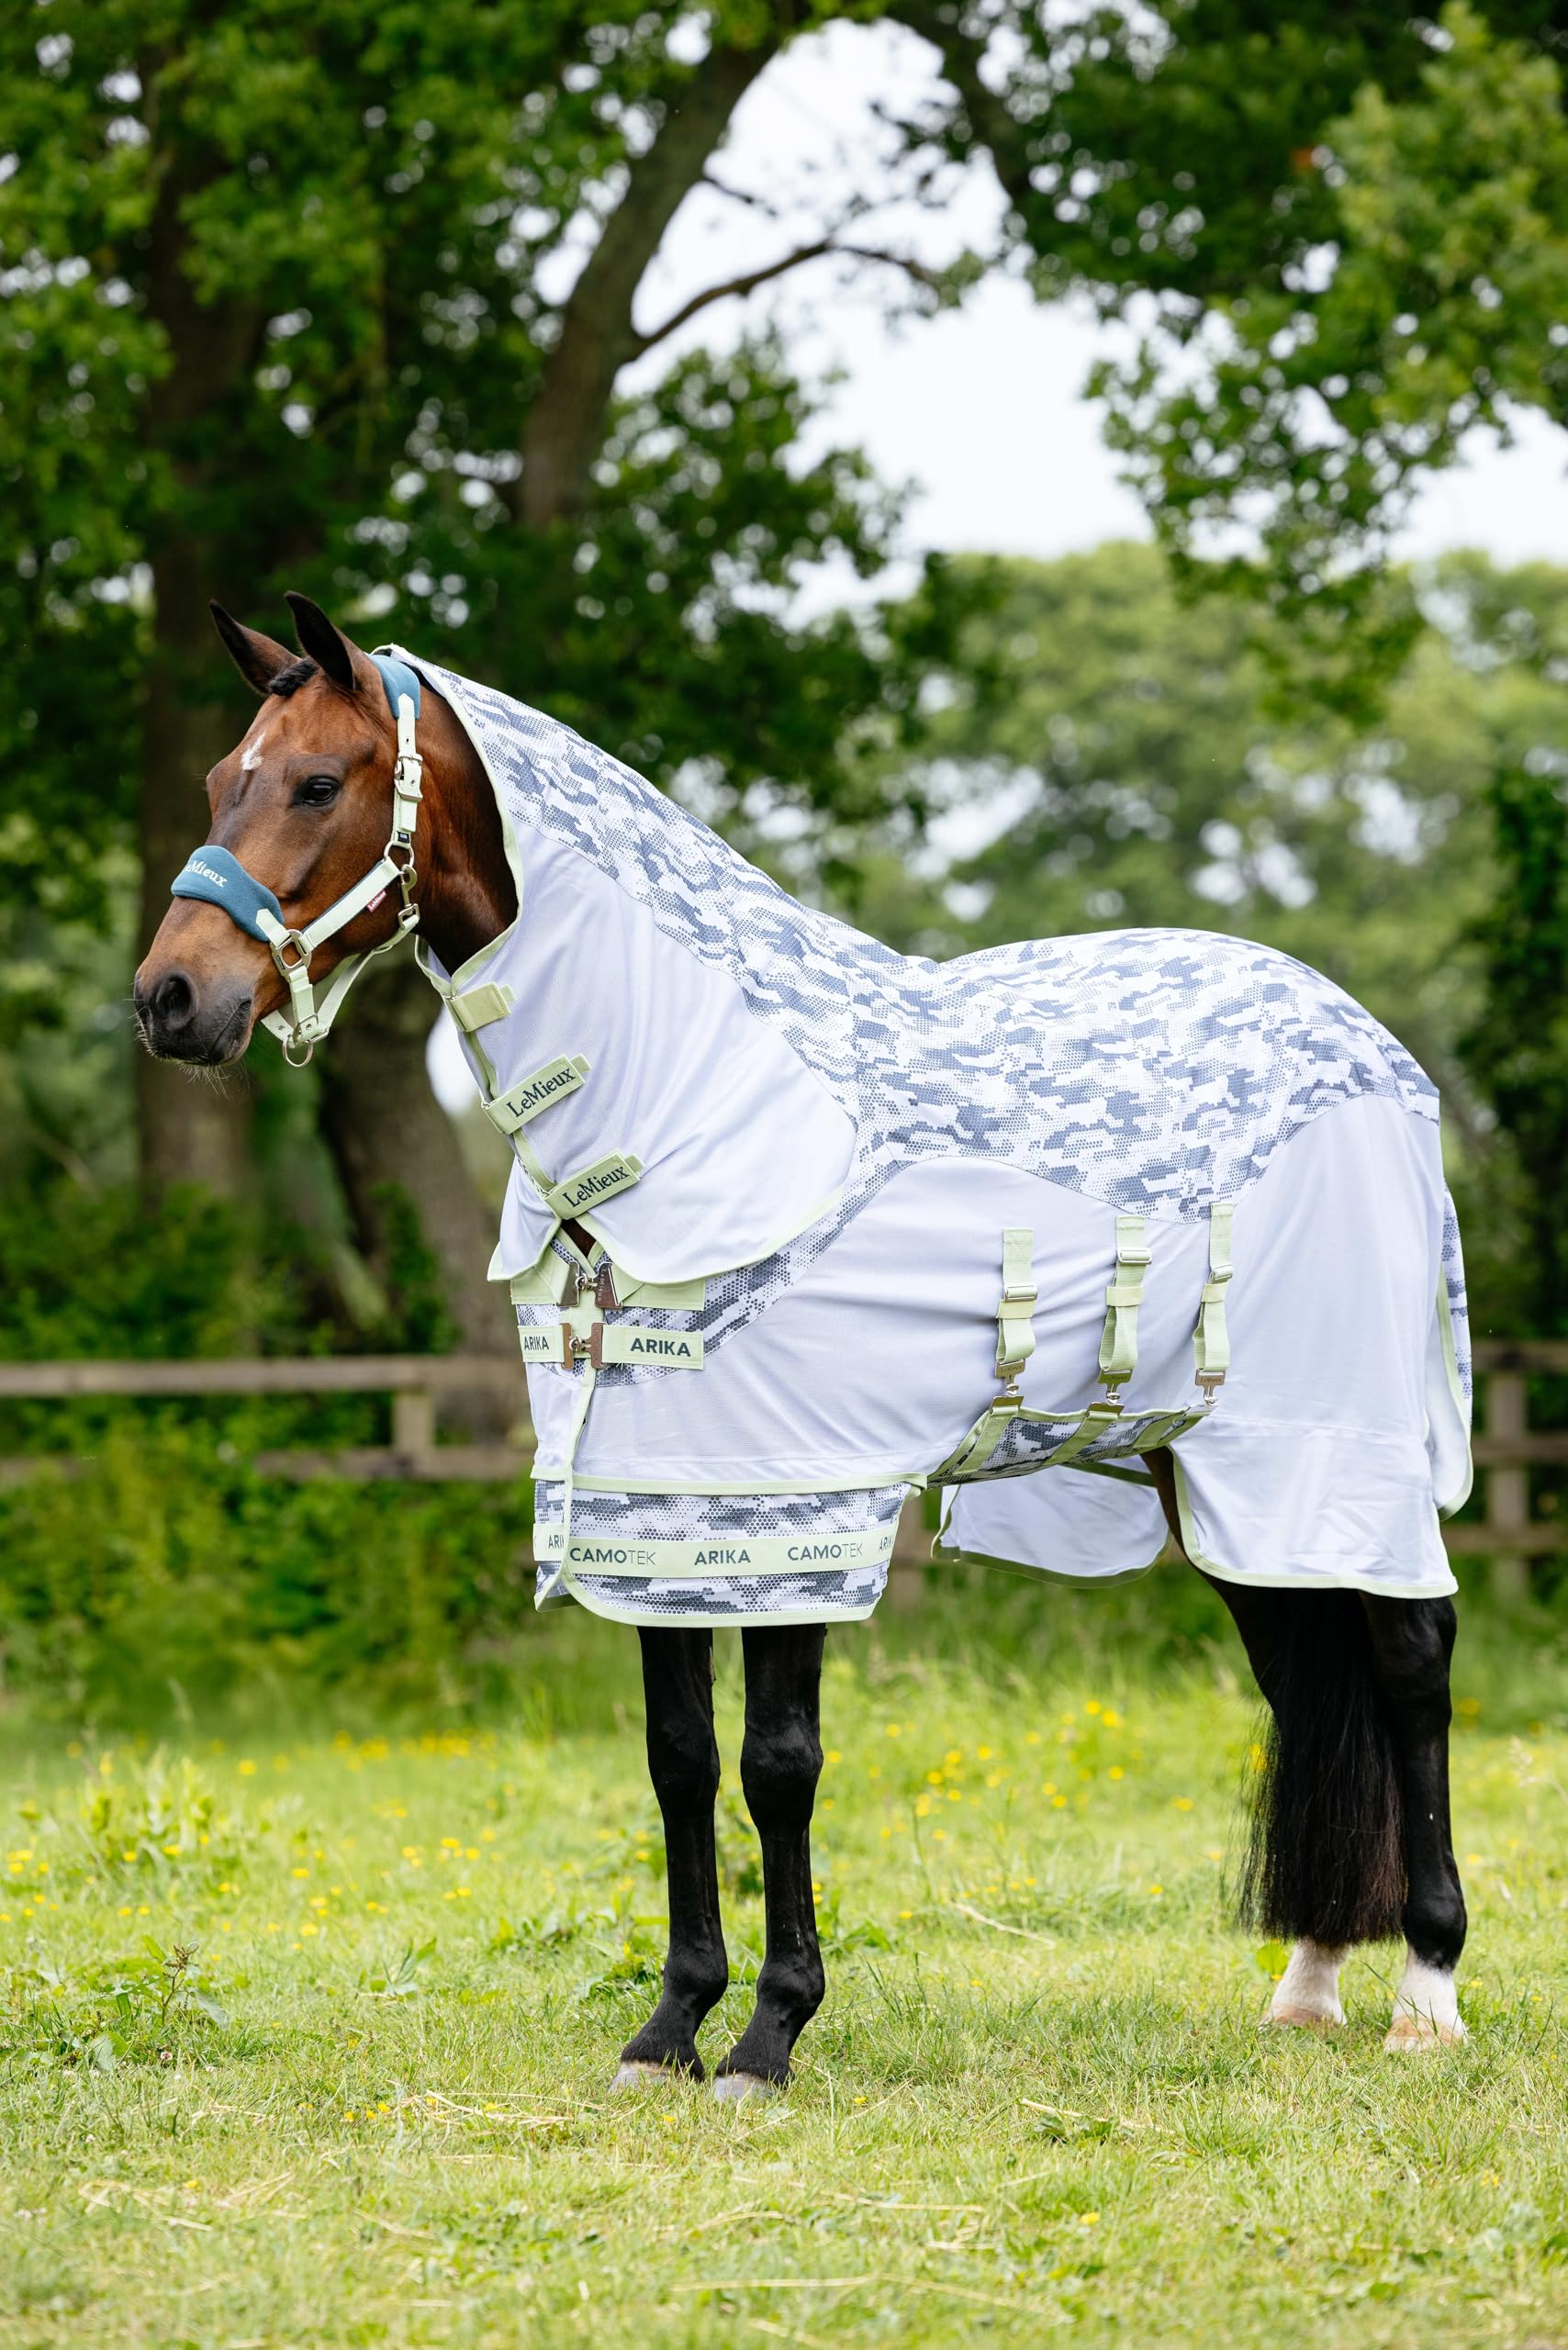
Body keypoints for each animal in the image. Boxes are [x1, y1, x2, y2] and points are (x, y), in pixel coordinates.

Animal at [134, 592, 1471, 2093]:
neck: (694, 1104)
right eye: (218, 781)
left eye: (318, 782)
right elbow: (677, 1759)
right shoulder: (654, 1510)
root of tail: (1374, 1048)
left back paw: (1427, 1989)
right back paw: (1308, 1981)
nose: (171, 1000)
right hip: (1218, 1472)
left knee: (1409, 1663)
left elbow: (778, 1762)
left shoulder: (795, 1499)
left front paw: (769, 2035)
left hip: (1334, 1448)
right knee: (1306, 1678)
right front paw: (669, 2027)